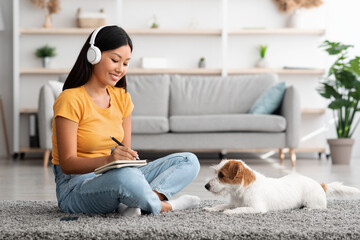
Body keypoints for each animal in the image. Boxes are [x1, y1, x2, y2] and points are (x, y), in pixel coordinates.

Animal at [204, 159, 358, 214]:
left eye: (221, 175)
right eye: (216, 172)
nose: (206, 186)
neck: (241, 191)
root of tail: (320, 185)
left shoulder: (257, 208)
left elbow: (240, 209)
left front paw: (229, 212)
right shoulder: (233, 202)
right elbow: (222, 205)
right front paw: (211, 208)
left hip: (312, 201)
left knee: (319, 207)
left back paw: (307, 208)